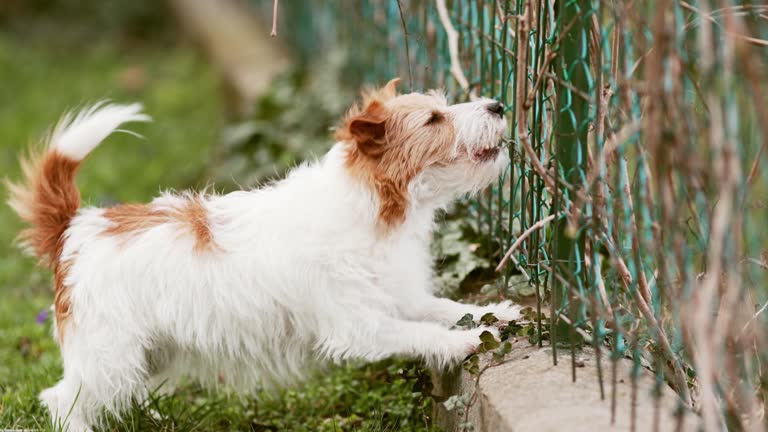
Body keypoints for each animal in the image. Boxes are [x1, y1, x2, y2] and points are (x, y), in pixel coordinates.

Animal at [7, 79, 520, 430]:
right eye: (433, 119)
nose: (497, 105)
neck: (375, 208)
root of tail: (77, 226)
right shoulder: (359, 326)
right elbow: (424, 333)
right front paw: (464, 342)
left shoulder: (402, 297)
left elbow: (448, 308)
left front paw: (497, 313)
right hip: (109, 355)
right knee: (62, 399)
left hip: (150, 352)